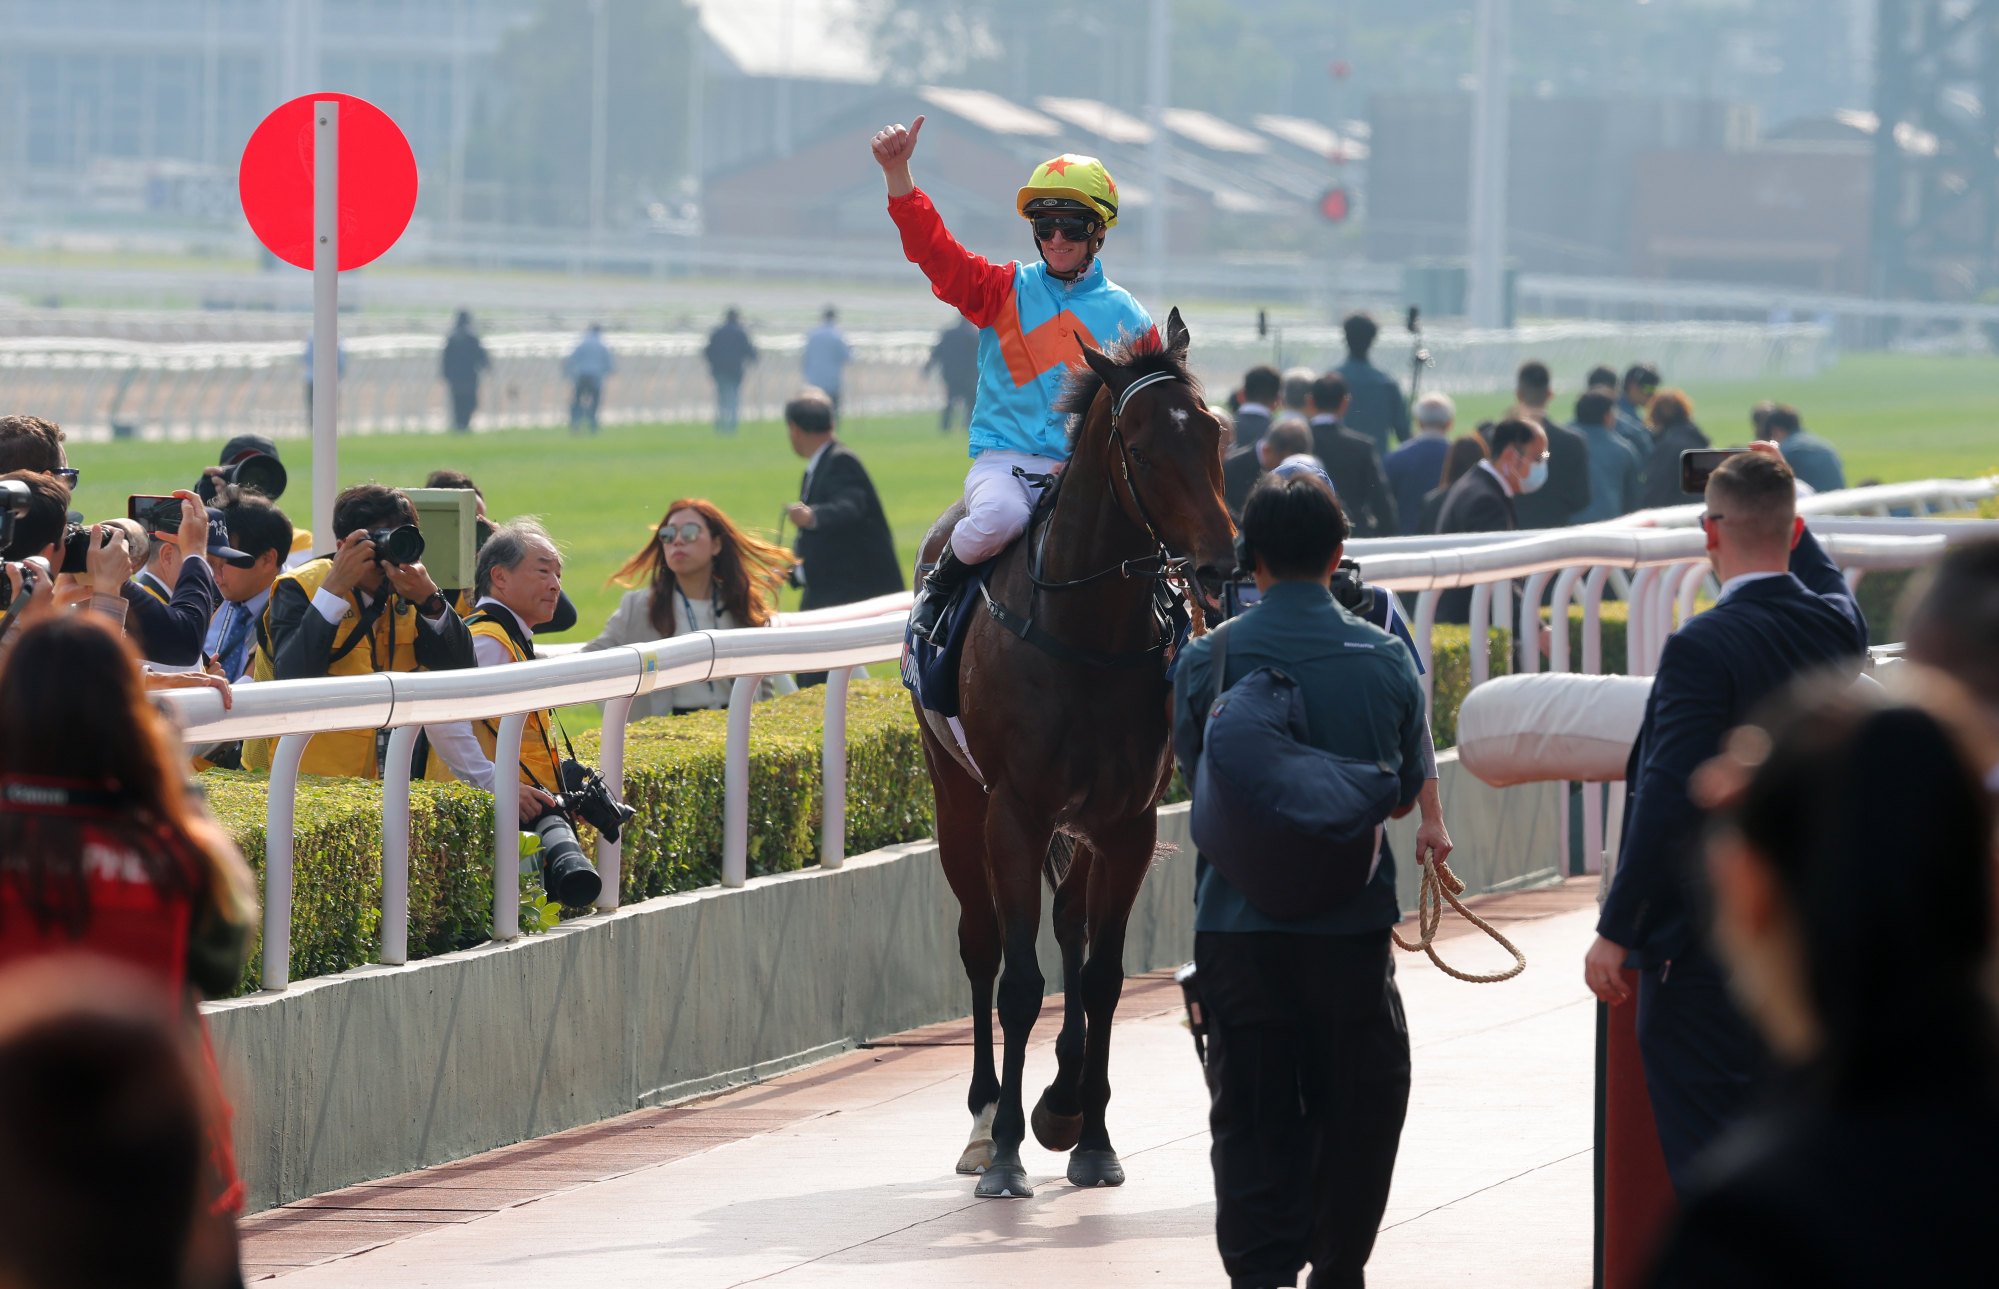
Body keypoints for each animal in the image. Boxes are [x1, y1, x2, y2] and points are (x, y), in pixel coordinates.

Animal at [915, 311, 1231, 1199]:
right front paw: (1008, 1153)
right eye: (1140, 447)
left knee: (1069, 928)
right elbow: (1020, 981)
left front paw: (1087, 1132)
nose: (1218, 560)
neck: (1087, 635)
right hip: (957, 801)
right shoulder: (1014, 812)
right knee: (982, 944)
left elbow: (1100, 973)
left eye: (1214, 433)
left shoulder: (1125, 821)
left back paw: (1060, 1092)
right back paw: (986, 1118)